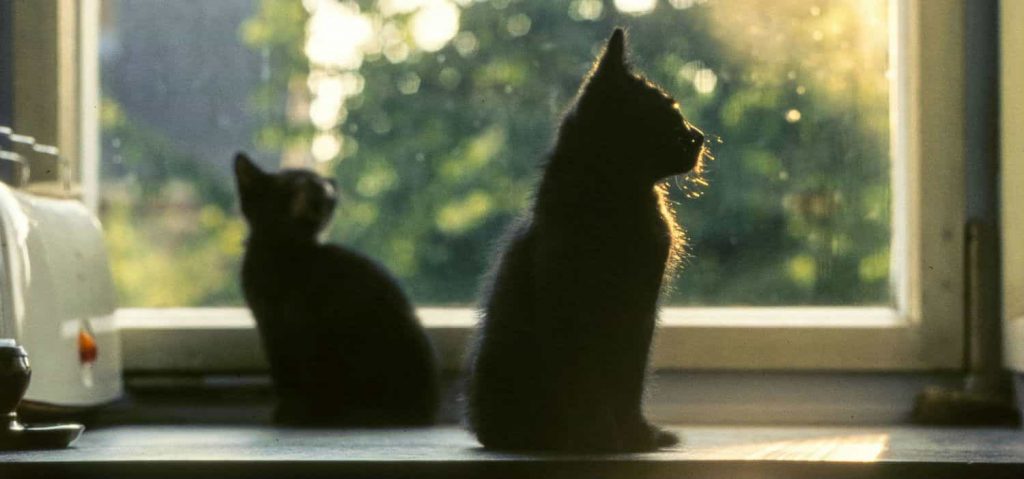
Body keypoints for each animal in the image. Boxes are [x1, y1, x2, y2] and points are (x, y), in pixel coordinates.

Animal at [235, 155, 440, 427]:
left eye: (323, 189)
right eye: (295, 182)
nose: (323, 186)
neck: (284, 253)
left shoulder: (311, 330)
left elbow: (311, 372)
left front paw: (301, 412)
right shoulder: (269, 326)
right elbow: (283, 372)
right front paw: (287, 410)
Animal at [468, 29, 704, 452]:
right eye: (668, 114)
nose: (699, 136)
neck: (616, 195)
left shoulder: (642, 308)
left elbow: (629, 379)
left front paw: (636, 434)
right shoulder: (572, 303)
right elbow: (586, 379)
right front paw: (598, 435)